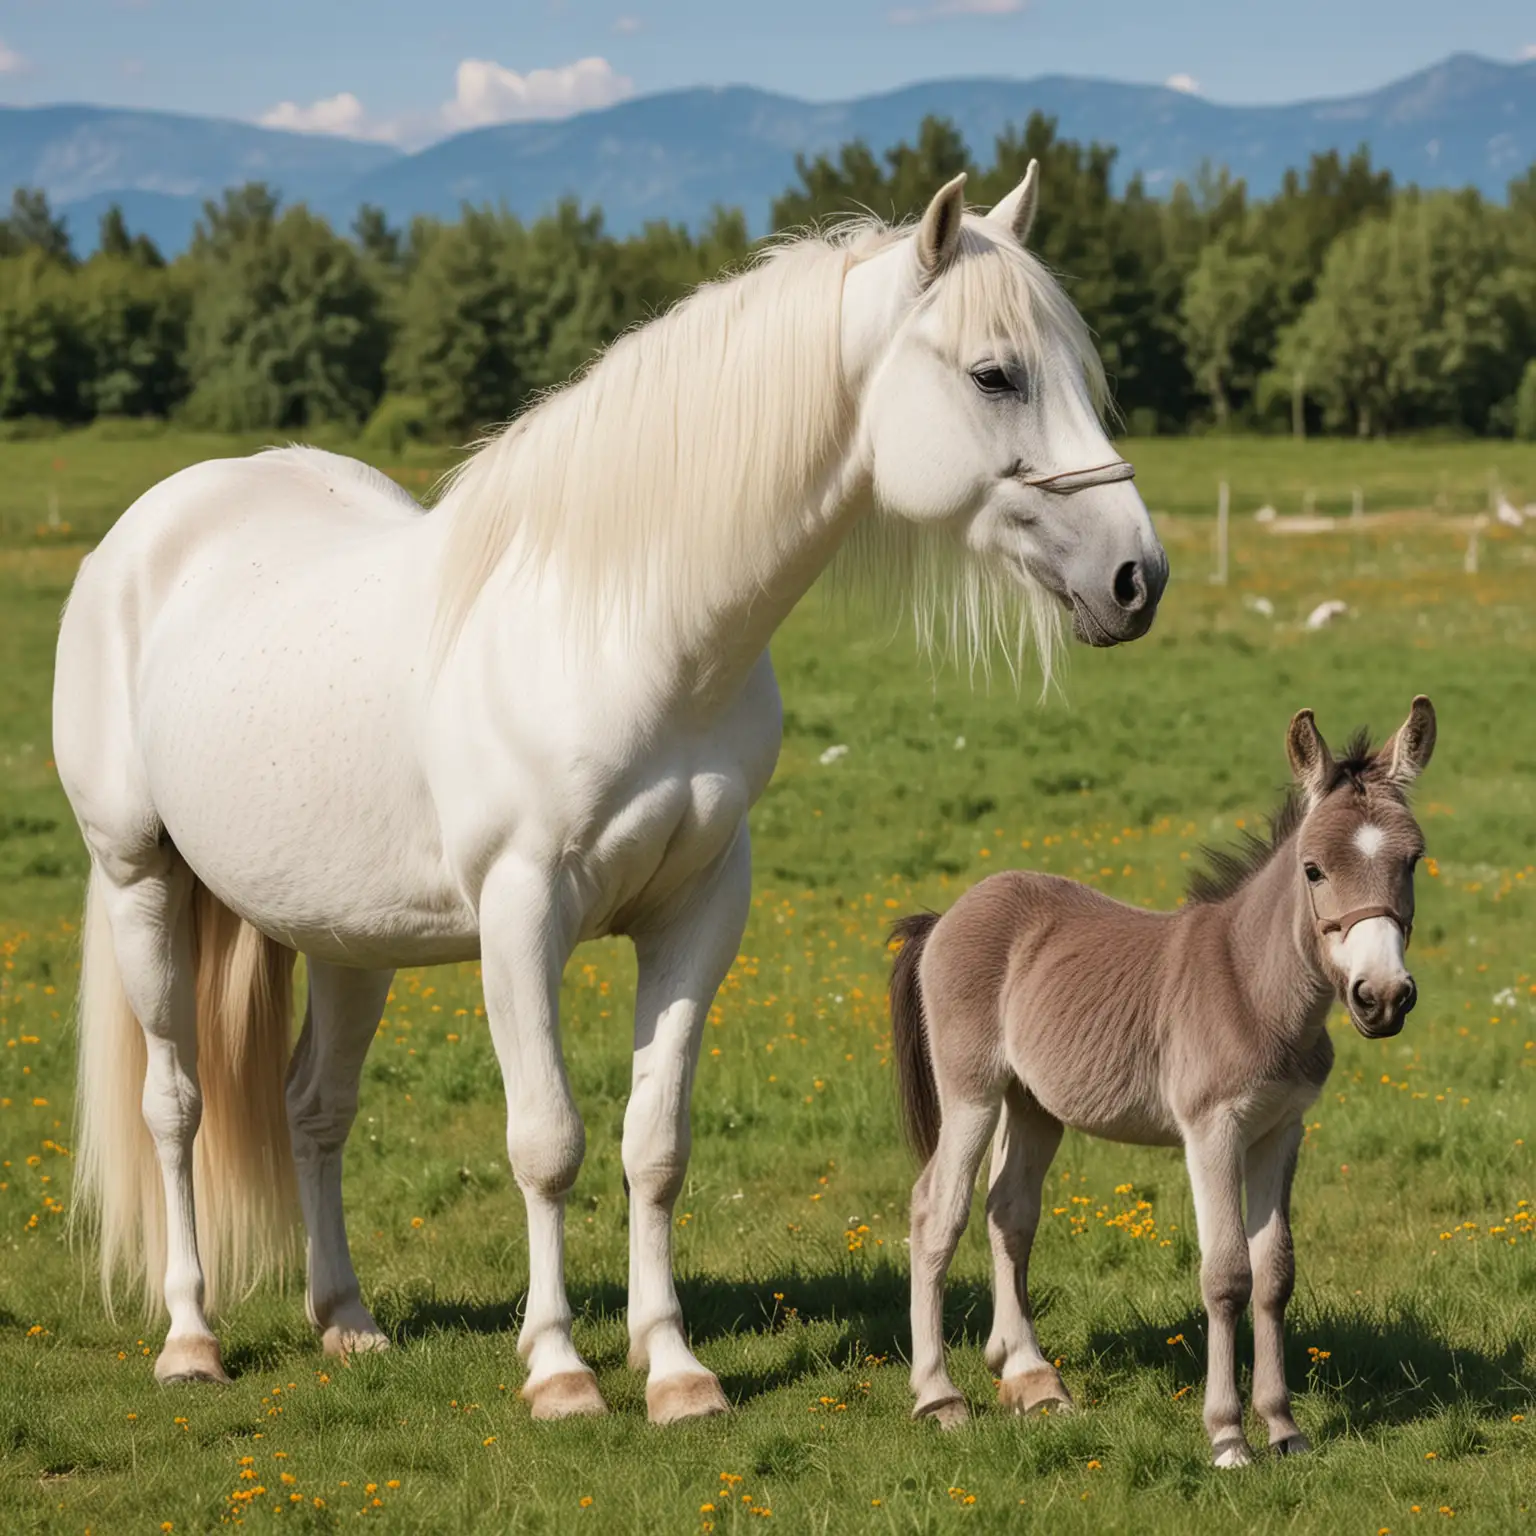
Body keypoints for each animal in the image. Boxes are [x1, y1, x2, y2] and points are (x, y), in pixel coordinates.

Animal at [54, 165, 1167, 1413]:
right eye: (994, 374)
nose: (1137, 577)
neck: (631, 632)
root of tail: (152, 531)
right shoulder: (521, 916)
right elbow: (547, 1142)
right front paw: (559, 1370)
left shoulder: (697, 914)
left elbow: (655, 1145)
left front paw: (673, 1369)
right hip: (141, 883)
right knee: (174, 1107)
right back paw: (191, 1339)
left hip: (347, 939)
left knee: (314, 1108)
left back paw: (347, 1321)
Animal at [890, 697, 1437, 1462]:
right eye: (1313, 869)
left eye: (1413, 860)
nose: (1381, 998)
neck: (1253, 989)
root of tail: (950, 914)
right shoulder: (1212, 1131)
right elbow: (1227, 1274)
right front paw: (1228, 1436)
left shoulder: (1282, 1130)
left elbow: (1275, 1274)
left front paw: (1284, 1428)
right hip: (971, 1091)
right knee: (936, 1211)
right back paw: (938, 1395)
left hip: (1034, 1104)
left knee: (1009, 1212)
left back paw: (1032, 1378)